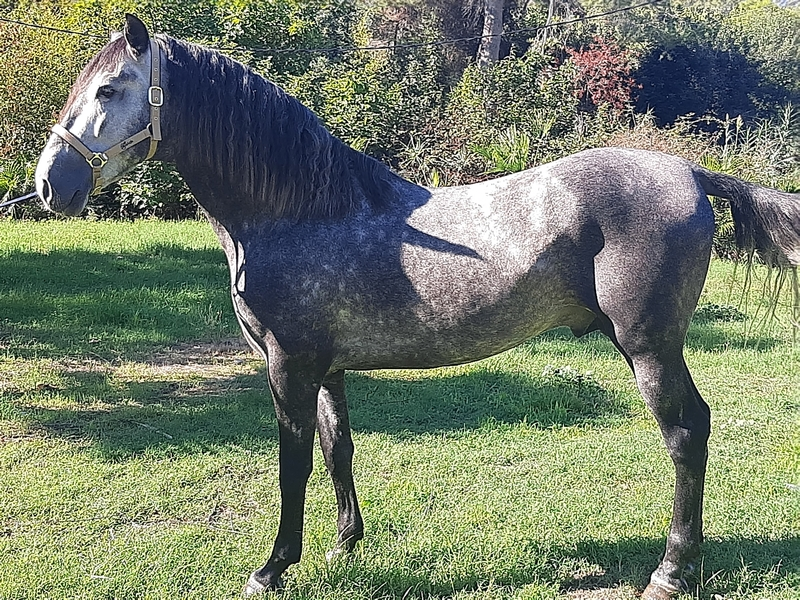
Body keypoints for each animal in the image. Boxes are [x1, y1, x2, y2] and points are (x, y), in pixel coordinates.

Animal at [34, 14, 800, 599]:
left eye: (109, 88)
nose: (49, 185)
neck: (299, 211)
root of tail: (690, 172)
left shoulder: (287, 367)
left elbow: (292, 462)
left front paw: (272, 568)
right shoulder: (326, 368)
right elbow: (337, 448)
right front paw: (346, 547)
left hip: (649, 348)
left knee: (686, 434)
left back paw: (671, 572)